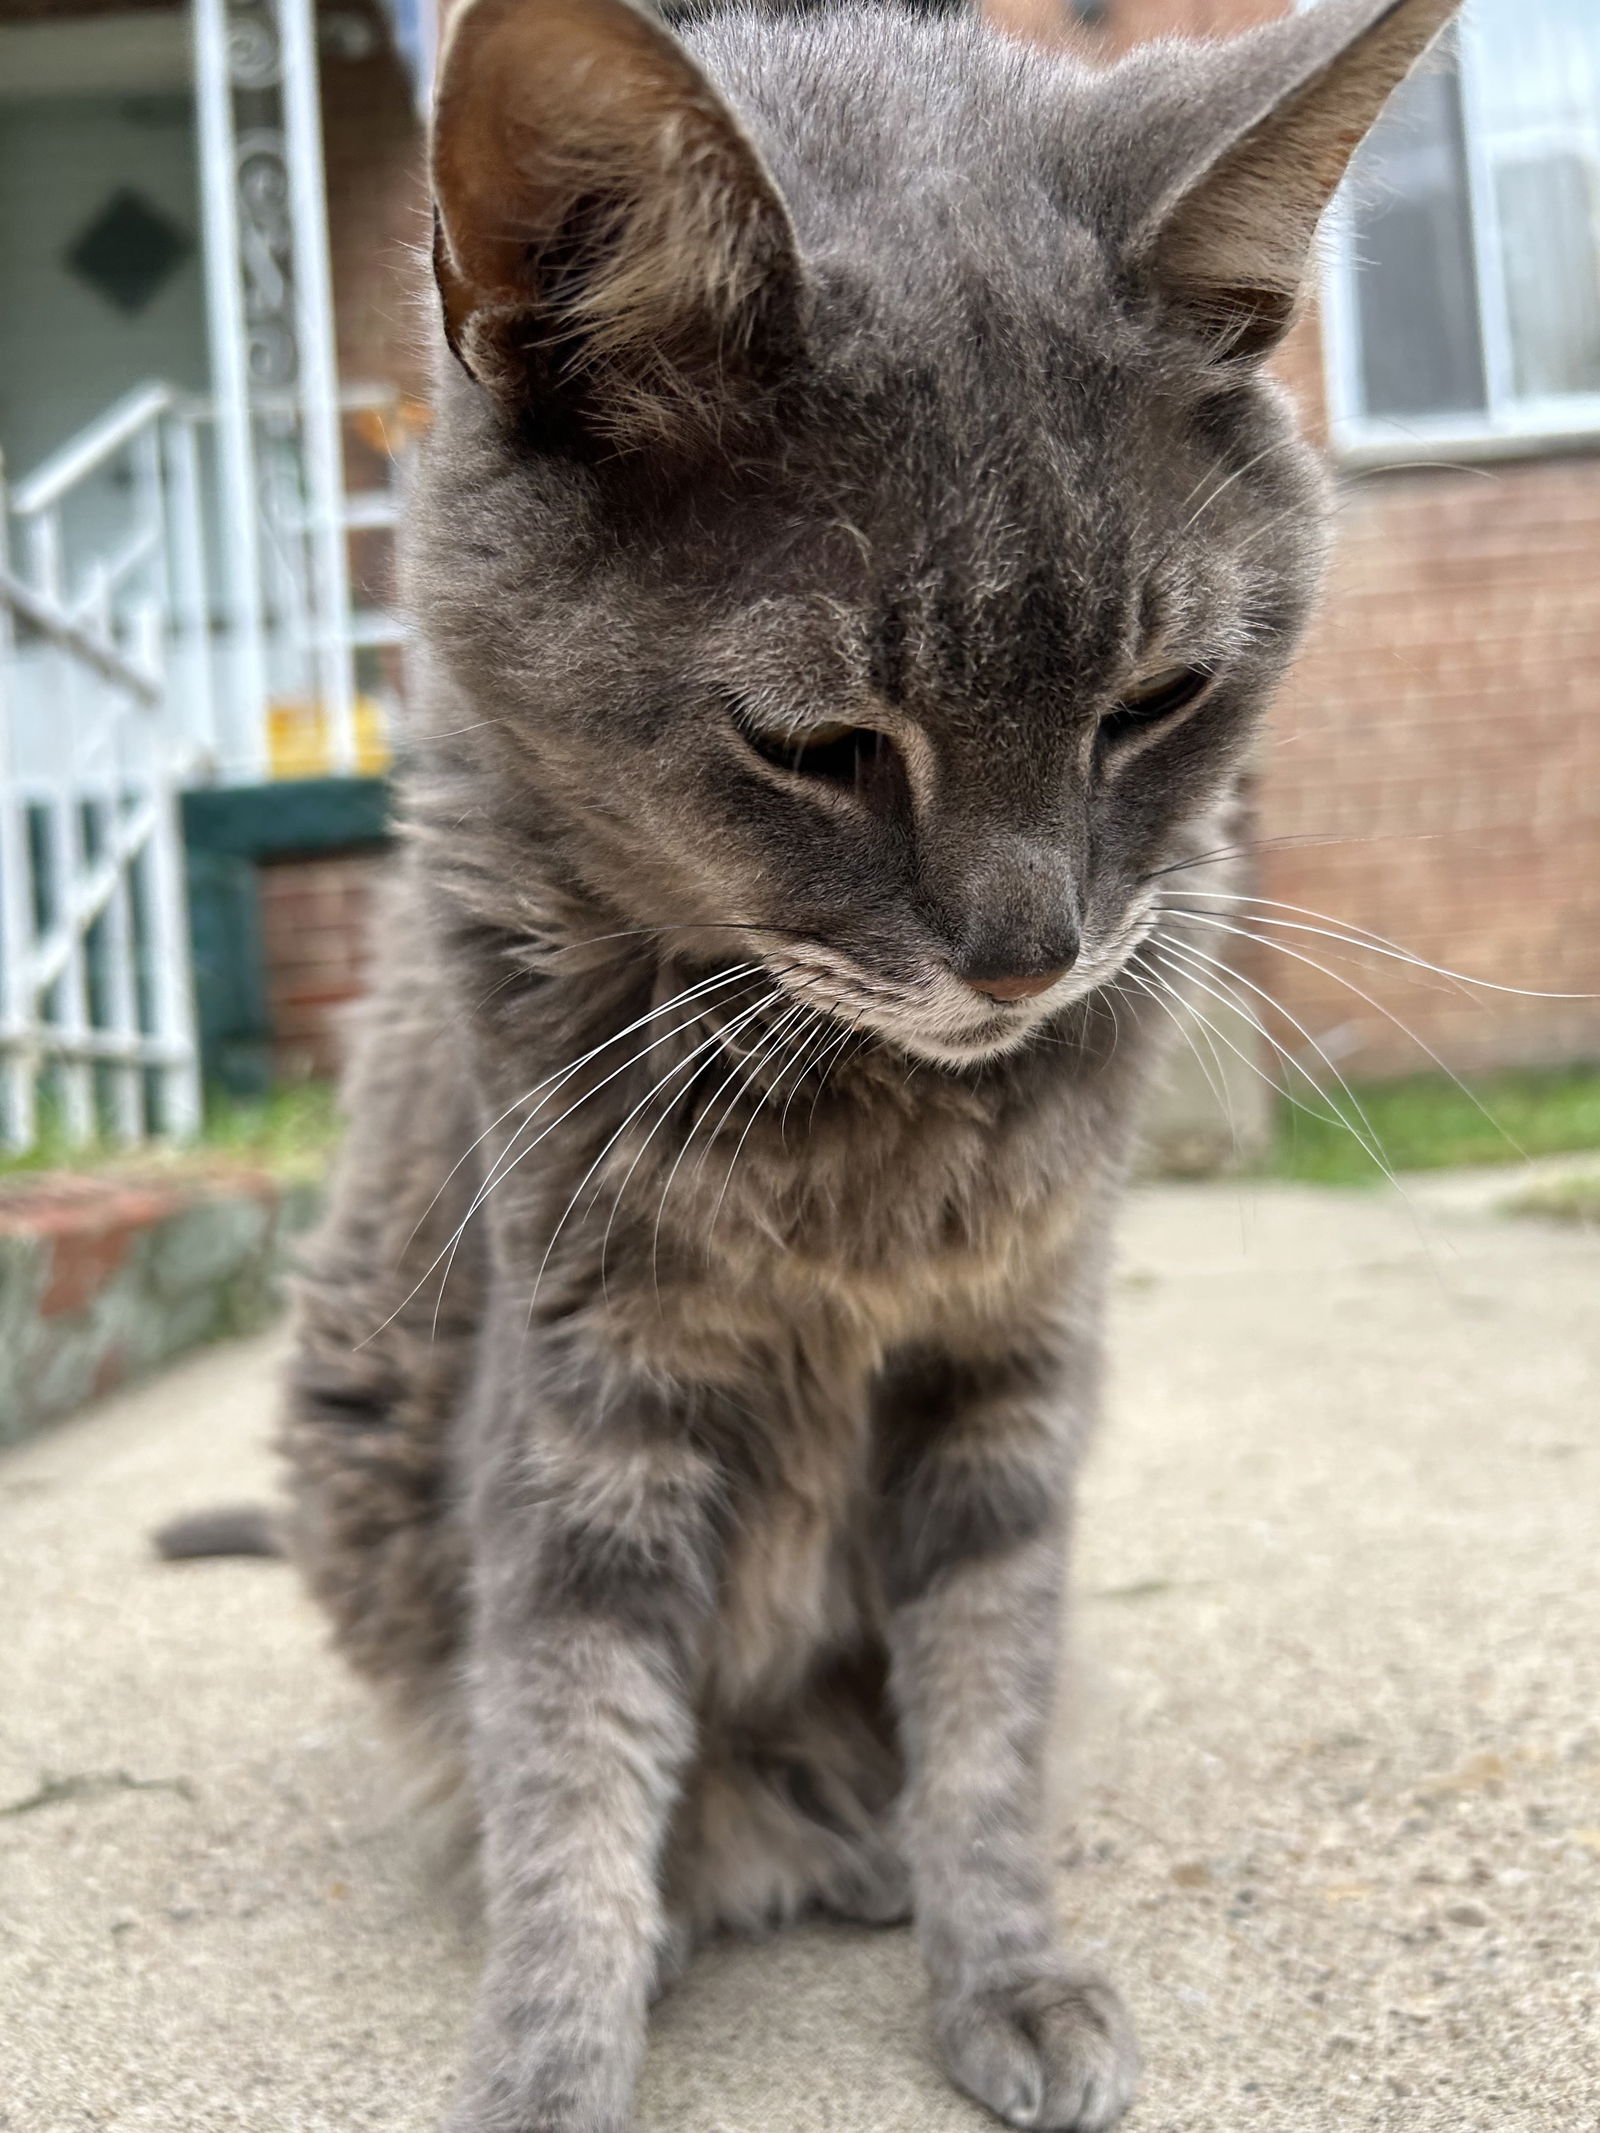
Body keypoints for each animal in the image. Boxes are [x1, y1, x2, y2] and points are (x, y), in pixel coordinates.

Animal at [275, 4, 1467, 2133]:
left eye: (1156, 702)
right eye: (819, 746)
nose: (1029, 953)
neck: (862, 1120)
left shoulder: (1007, 1373)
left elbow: (985, 1695)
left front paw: (1000, 1957)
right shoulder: (584, 1383)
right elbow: (568, 1736)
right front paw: (555, 2053)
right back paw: (760, 1837)